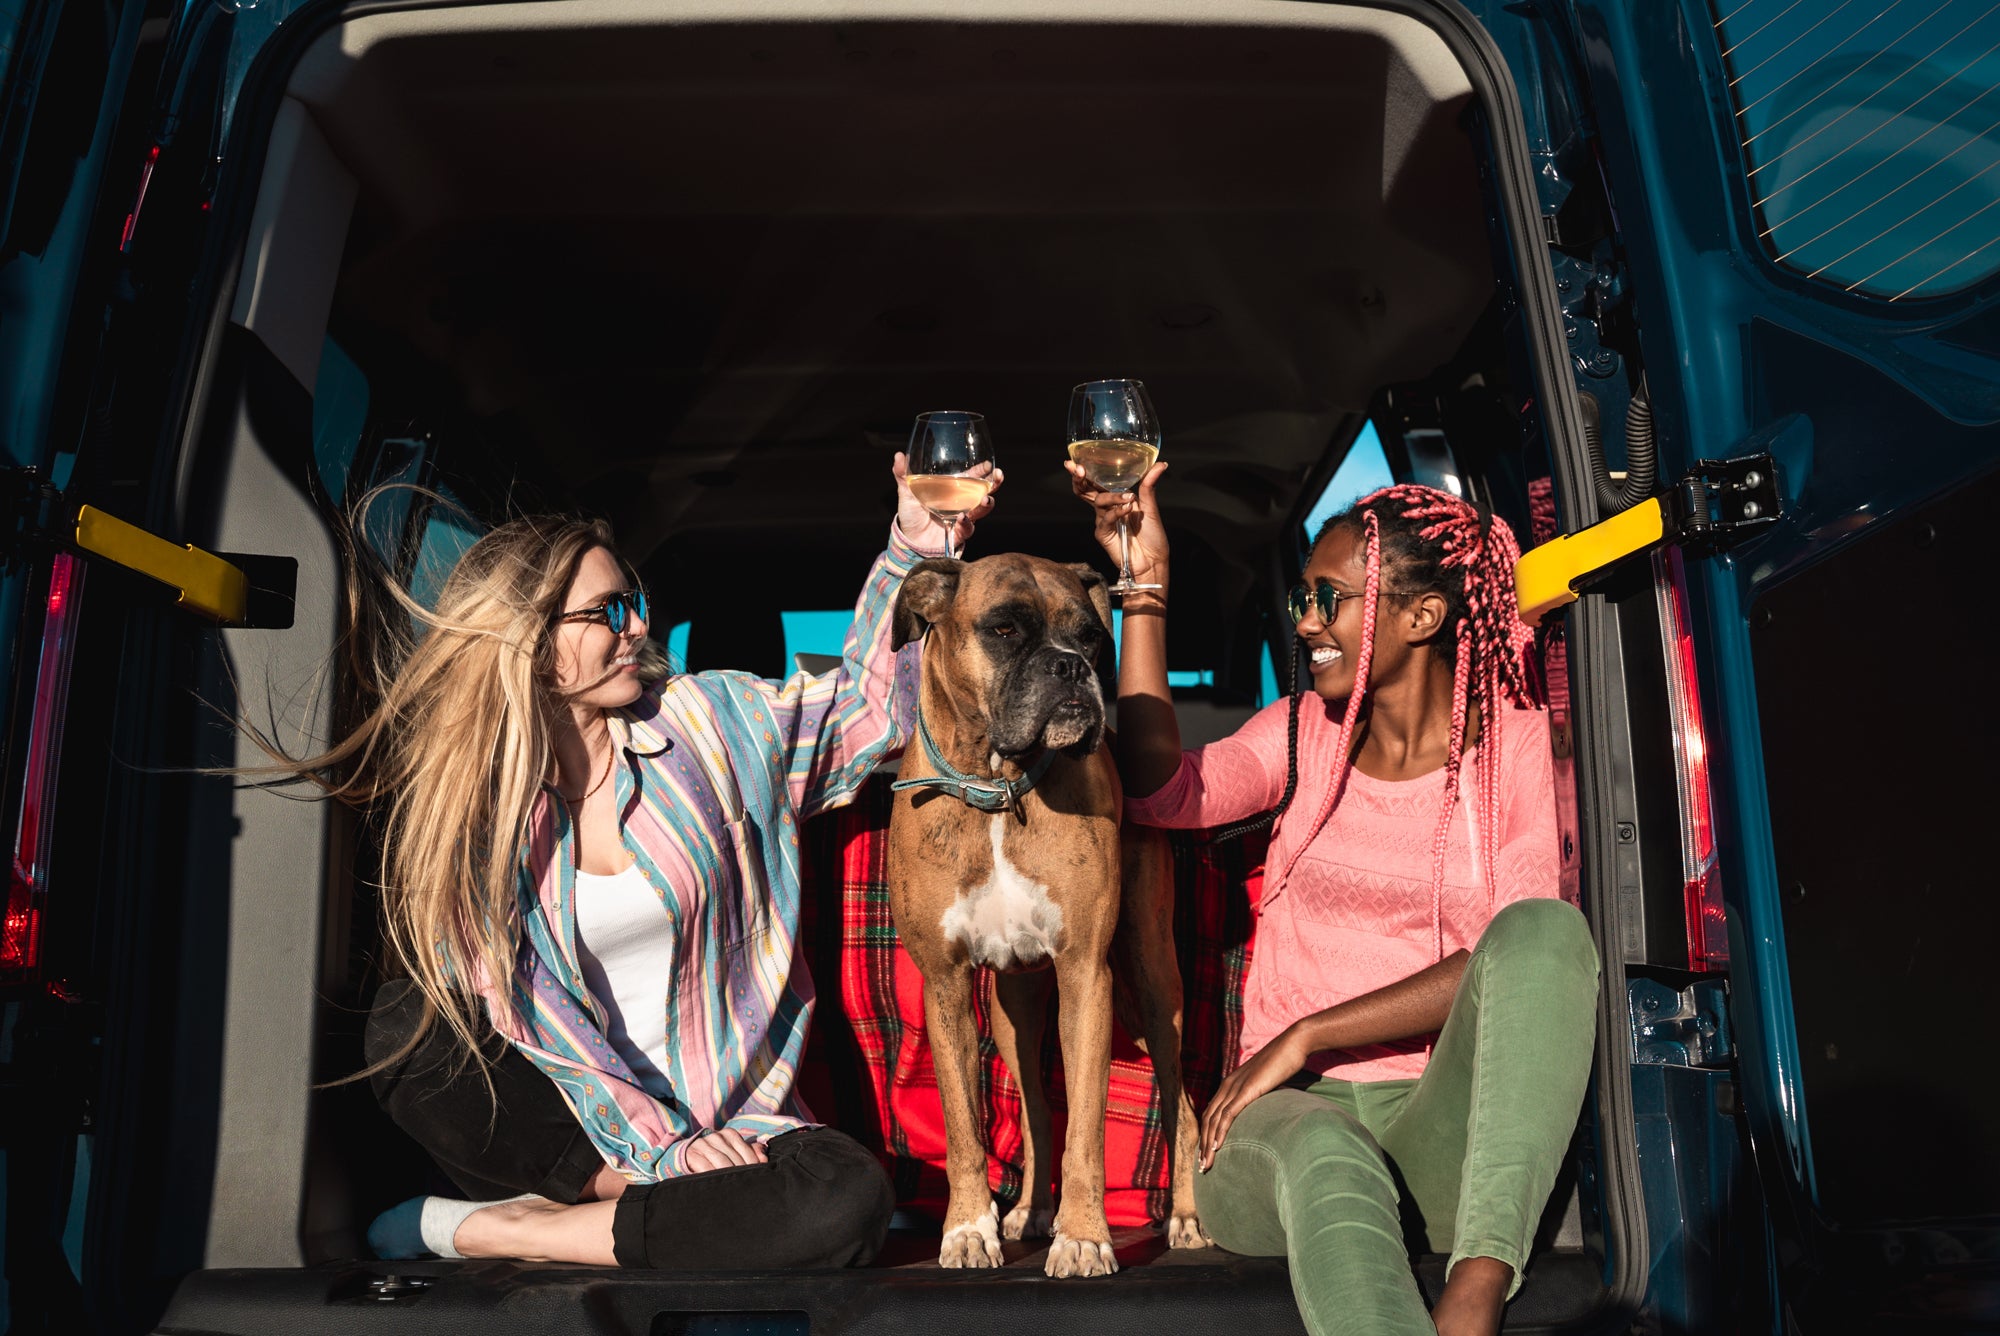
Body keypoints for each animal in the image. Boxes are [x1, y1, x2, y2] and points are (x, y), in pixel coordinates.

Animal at [892, 556, 1200, 1280]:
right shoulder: (945, 986)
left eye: (1090, 636)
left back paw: (1183, 1218)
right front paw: (968, 1229)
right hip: (1017, 1010)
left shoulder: (1086, 975)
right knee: (1033, 1106)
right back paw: (1030, 1210)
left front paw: (1083, 1237)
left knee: (1182, 1101)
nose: (1070, 667)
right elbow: (966, 1126)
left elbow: (1084, 1126)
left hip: (1150, 987)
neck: (997, 788)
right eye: (1004, 629)